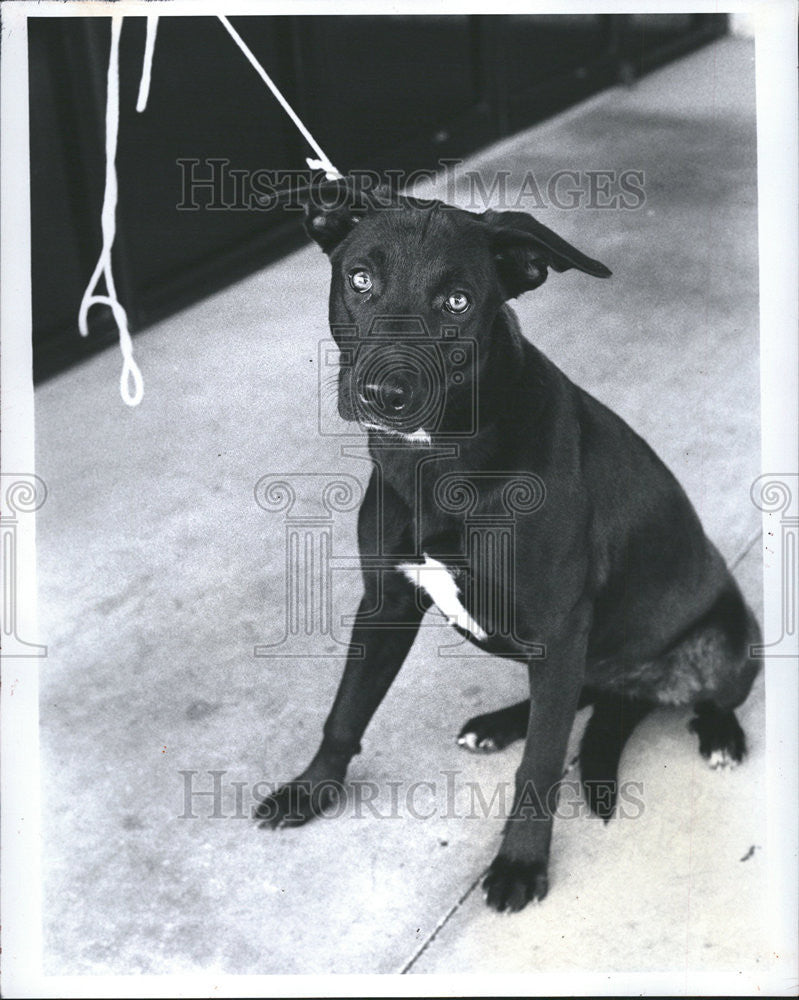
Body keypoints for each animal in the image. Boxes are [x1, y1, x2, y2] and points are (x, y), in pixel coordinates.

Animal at [258, 180, 764, 916]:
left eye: (457, 301)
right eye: (360, 279)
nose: (384, 392)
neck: (439, 461)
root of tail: (637, 686)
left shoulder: (557, 628)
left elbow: (543, 764)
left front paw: (521, 864)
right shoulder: (385, 603)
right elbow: (345, 710)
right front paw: (311, 789)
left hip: (725, 640)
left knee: (693, 696)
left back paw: (720, 733)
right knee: (582, 696)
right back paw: (501, 722)